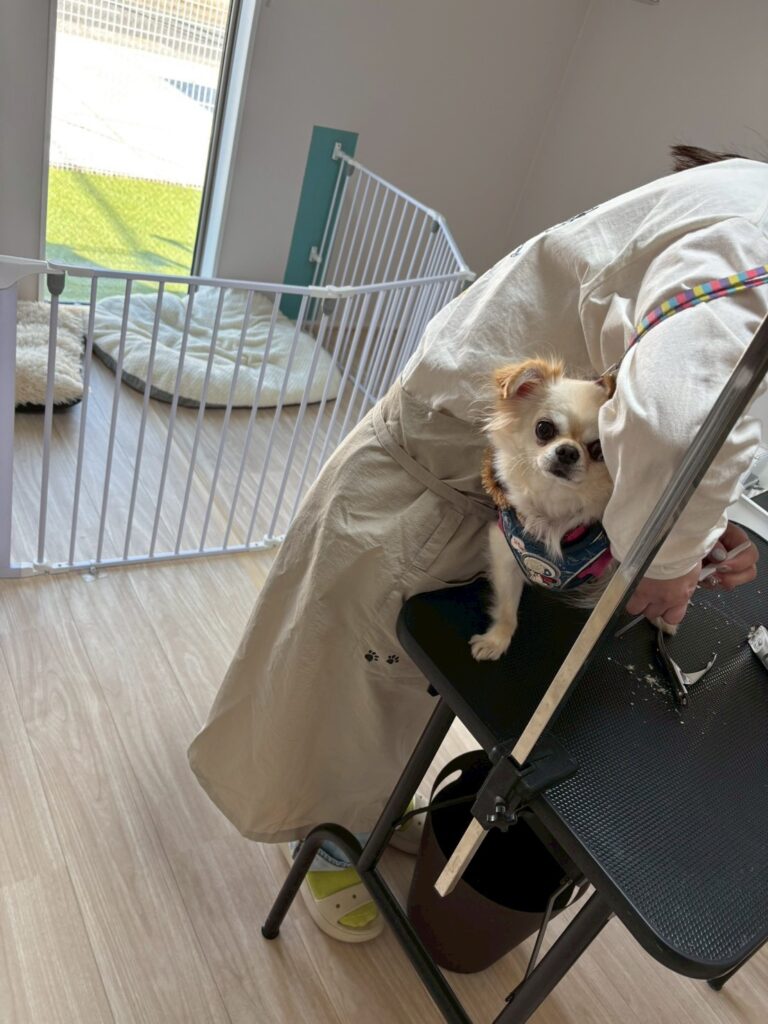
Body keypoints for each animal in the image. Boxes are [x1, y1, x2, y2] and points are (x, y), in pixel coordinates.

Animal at [470, 357, 616, 661]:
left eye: (598, 450)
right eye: (544, 429)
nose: (568, 452)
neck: (553, 502)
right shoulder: (505, 550)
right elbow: (507, 606)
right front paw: (496, 640)